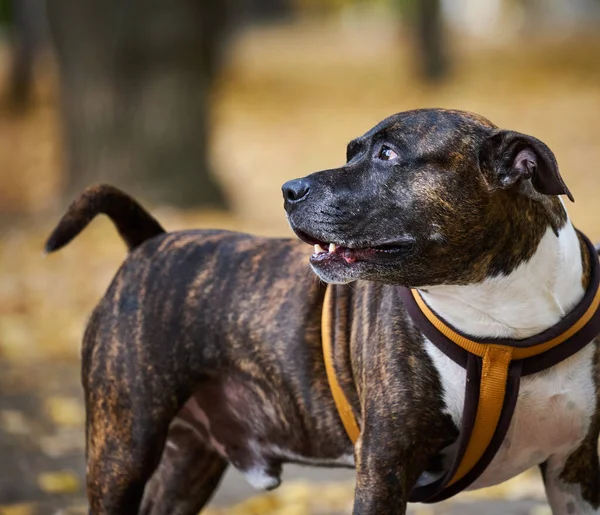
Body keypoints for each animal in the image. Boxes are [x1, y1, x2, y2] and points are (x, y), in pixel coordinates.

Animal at [44, 107, 596, 512]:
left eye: (388, 154)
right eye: (351, 152)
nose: (289, 189)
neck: (501, 323)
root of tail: (150, 242)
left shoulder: (575, 473)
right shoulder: (384, 465)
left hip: (186, 463)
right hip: (121, 448)